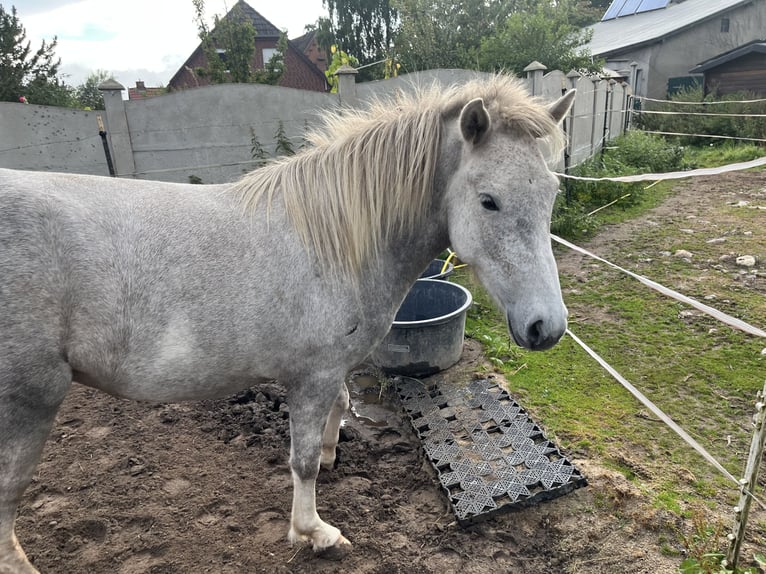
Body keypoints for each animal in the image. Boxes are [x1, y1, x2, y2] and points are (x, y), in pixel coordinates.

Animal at [0, 75, 574, 572]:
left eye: (551, 193)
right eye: (488, 200)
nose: (546, 327)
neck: (334, 241)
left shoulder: (329, 372)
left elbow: (339, 409)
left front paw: (333, 451)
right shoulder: (310, 377)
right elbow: (303, 462)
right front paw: (313, 532)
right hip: (30, 404)